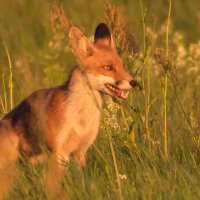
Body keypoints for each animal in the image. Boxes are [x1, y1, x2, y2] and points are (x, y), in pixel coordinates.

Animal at [0, 22, 137, 198]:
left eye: (122, 66)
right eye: (107, 67)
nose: (134, 82)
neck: (81, 118)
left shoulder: (80, 151)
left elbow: (81, 182)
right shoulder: (59, 152)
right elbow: (52, 188)